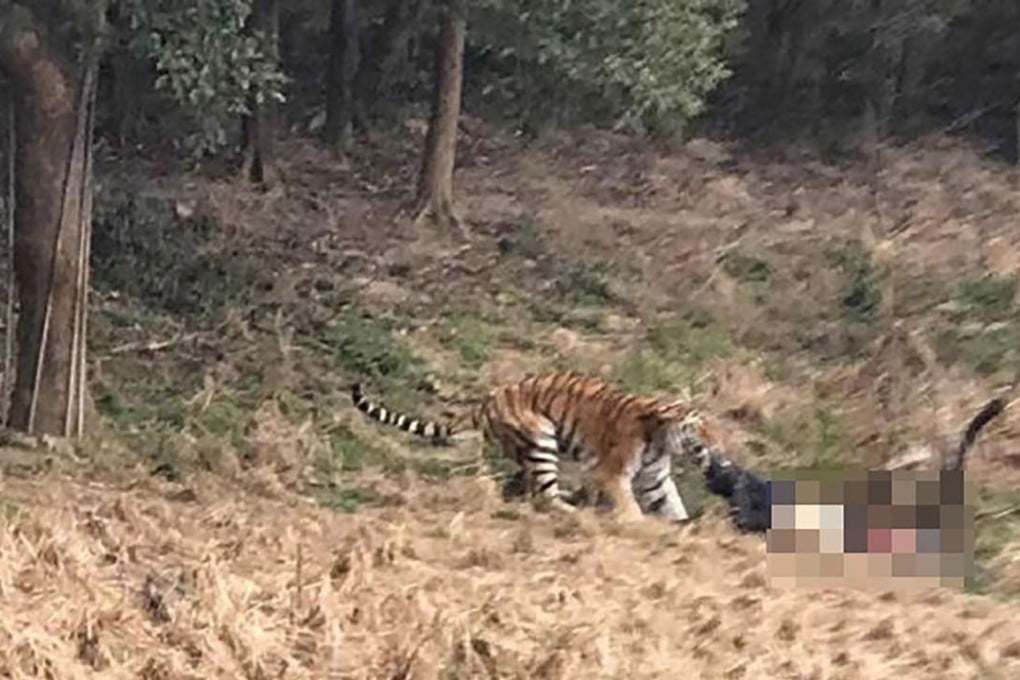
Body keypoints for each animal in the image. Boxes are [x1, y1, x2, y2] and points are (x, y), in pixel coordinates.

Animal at [350, 371, 770, 532]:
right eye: (700, 427)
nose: (719, 446)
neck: (662, 439)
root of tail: (487, 400)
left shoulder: (655, 478)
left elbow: (672, 504)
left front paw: (682, 525)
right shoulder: (612, 471)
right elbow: (629, 503)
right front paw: (634, 522)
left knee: (527, 486)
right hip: (541, 436)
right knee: (545, 494)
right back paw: (574, 510)